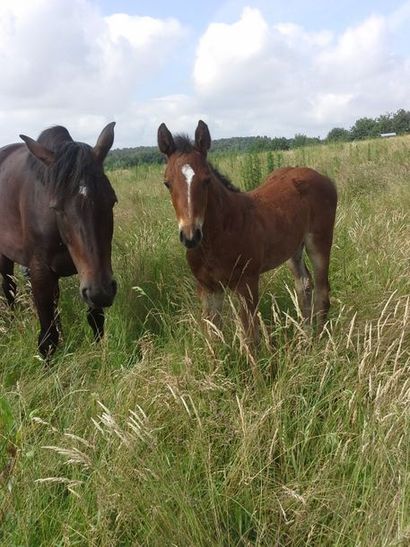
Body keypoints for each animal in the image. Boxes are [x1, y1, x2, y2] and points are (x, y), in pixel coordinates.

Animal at [0, 123, 118, 356]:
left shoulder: (89, 274)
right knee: (9, 289)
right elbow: (47, 339)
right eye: (56, 207)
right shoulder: (40, 272)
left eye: (112, 200)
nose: (102, 292)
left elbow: (96, 320)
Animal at [157, 122, 336, 340]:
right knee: (304, 285)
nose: (190, 236)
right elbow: (214, 338)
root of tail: (320, 176)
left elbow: (250, 338)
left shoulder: (247, 284)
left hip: (320, 241)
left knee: (322, 291)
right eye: (167, 183)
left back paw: (319, 340)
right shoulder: (208, 288)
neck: (216, 239)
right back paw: (305, 337)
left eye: (206, 180)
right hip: (294, 248)